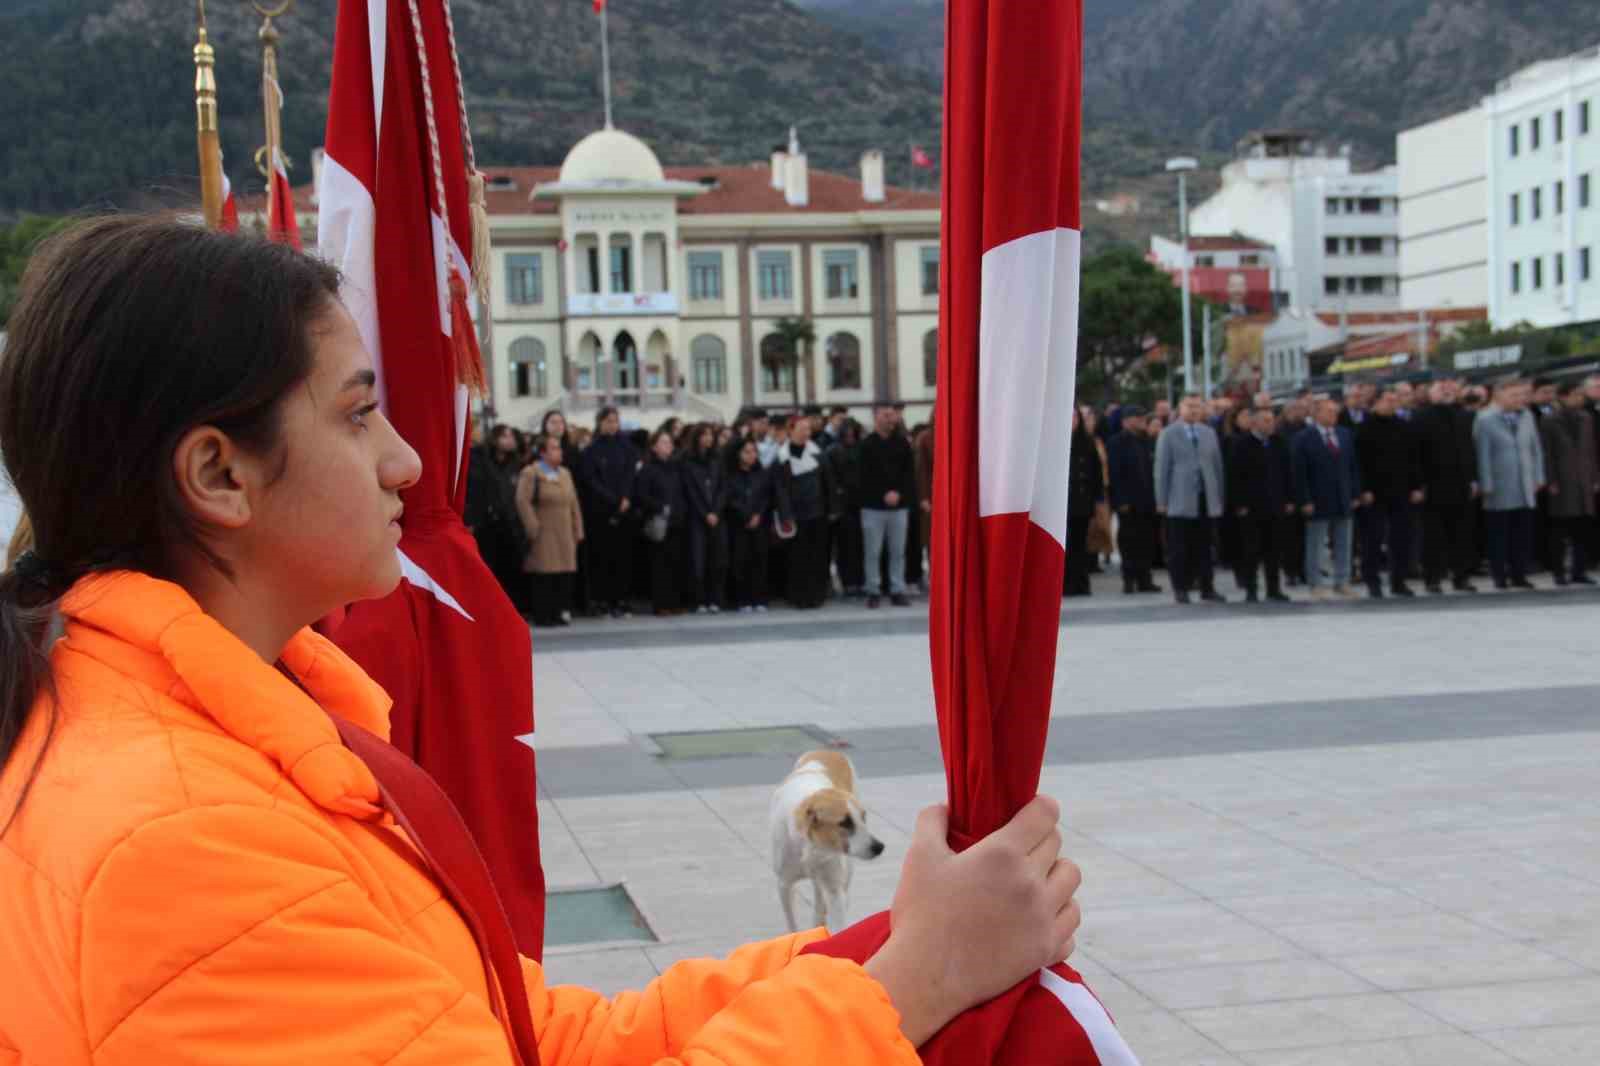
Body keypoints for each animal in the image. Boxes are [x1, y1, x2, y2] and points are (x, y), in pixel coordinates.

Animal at [764, 745, 883, 928]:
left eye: (864, 817)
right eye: (845, 823)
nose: (879, 847)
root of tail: (828, 750)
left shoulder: (834, 889)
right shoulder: (784, 885)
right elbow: (792, 924)